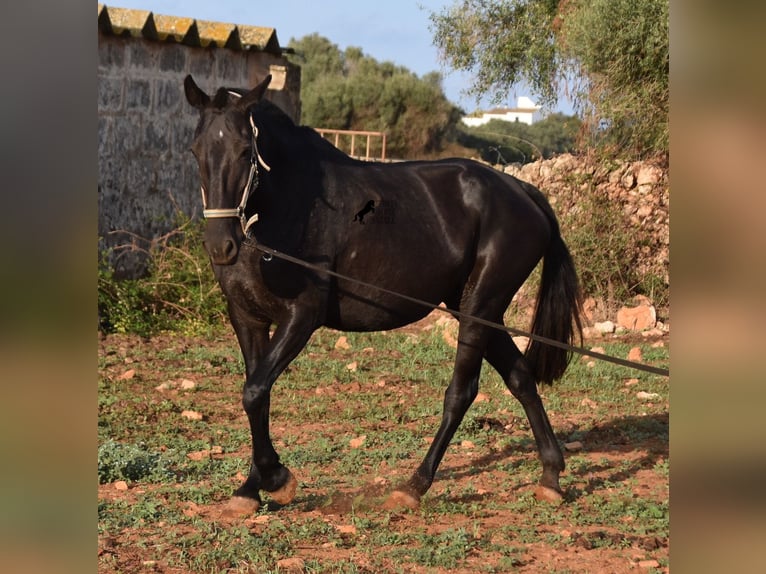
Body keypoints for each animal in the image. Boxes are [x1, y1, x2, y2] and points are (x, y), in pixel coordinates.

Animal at [184, 74, 584, 516]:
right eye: (196, 150)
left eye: (245, 151)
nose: (220, 246)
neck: (284, 209)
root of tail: (523, 191)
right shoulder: (247, 317)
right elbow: (258, 393)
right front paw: (251, 487)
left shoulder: (302, 316)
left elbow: (254, 392)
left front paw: (276, 478)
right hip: (477, 309)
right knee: (520, 378)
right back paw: (550, 476)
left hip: (481, 306)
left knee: (461, 393)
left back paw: (414, 486)